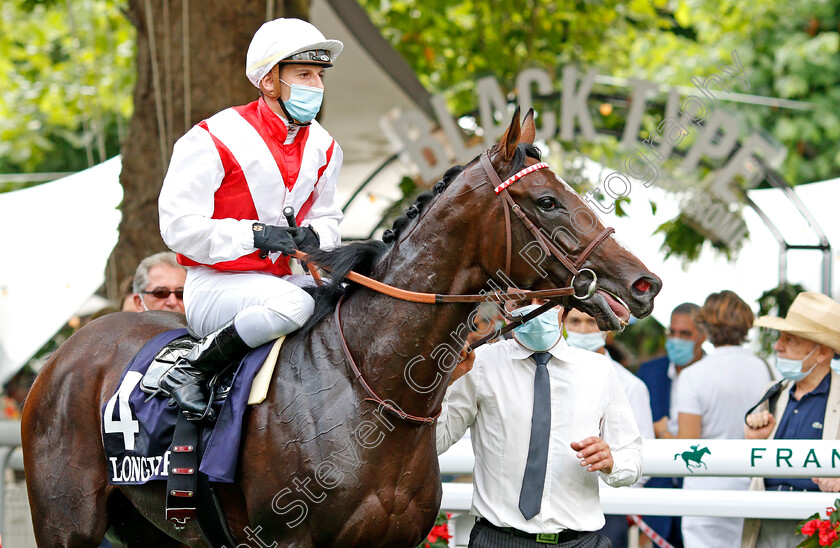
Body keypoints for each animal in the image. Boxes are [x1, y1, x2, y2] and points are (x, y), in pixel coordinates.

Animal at [21, 109, 664, 544]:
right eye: (547, 201)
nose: (643, 284)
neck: (374, 391)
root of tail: (68, 352)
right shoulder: (287, 539)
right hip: (66, 522)